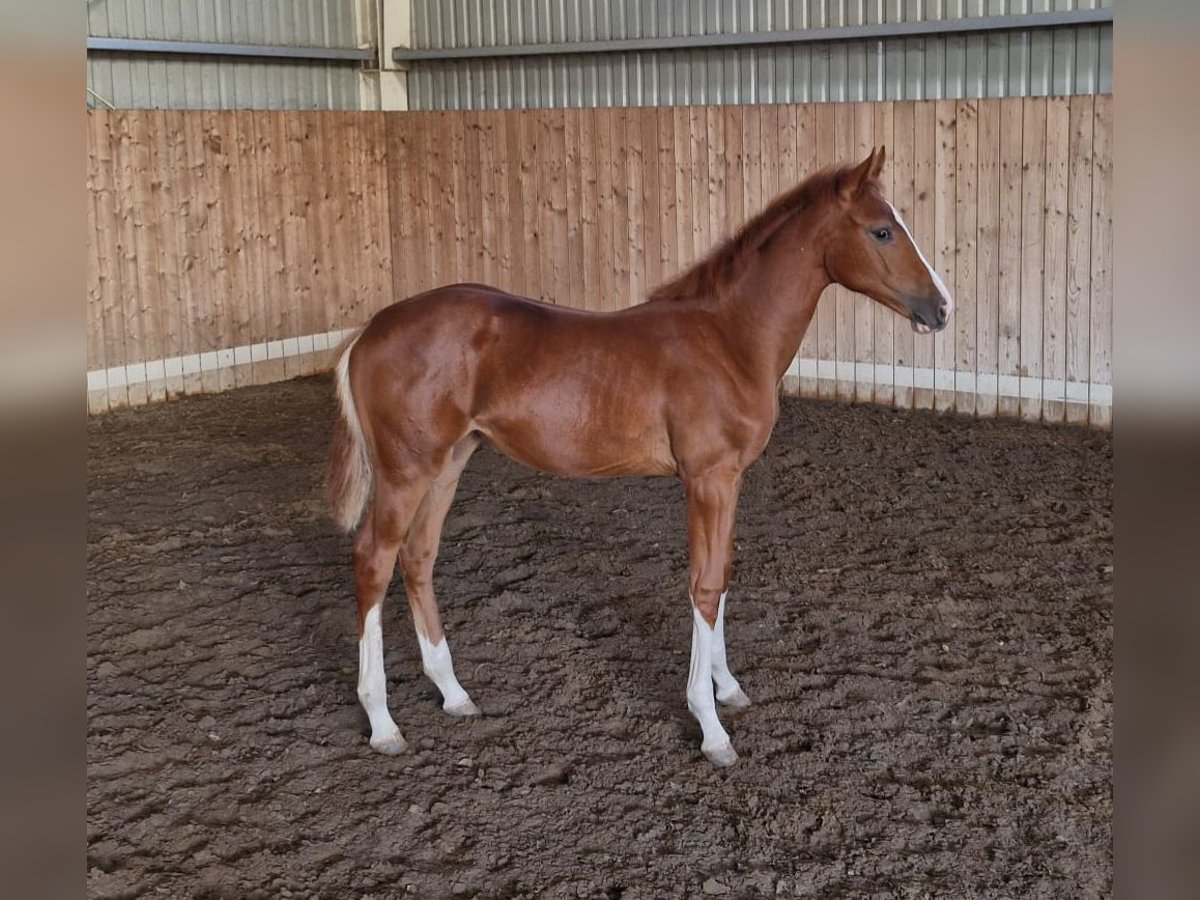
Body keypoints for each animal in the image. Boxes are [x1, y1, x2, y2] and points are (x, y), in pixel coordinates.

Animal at [326, 148, 945, 768]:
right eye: (882, 230)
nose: (941, 309)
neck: (728, 339)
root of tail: (368, 332)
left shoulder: (731, 478)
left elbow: (722, 575)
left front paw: (729, 688)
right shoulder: (706, 479)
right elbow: (703, 585)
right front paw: (710, 726)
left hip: (449, 463)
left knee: (418, 557)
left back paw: (454, 693)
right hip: (406, 471)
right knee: (374, 560)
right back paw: (382, 722)